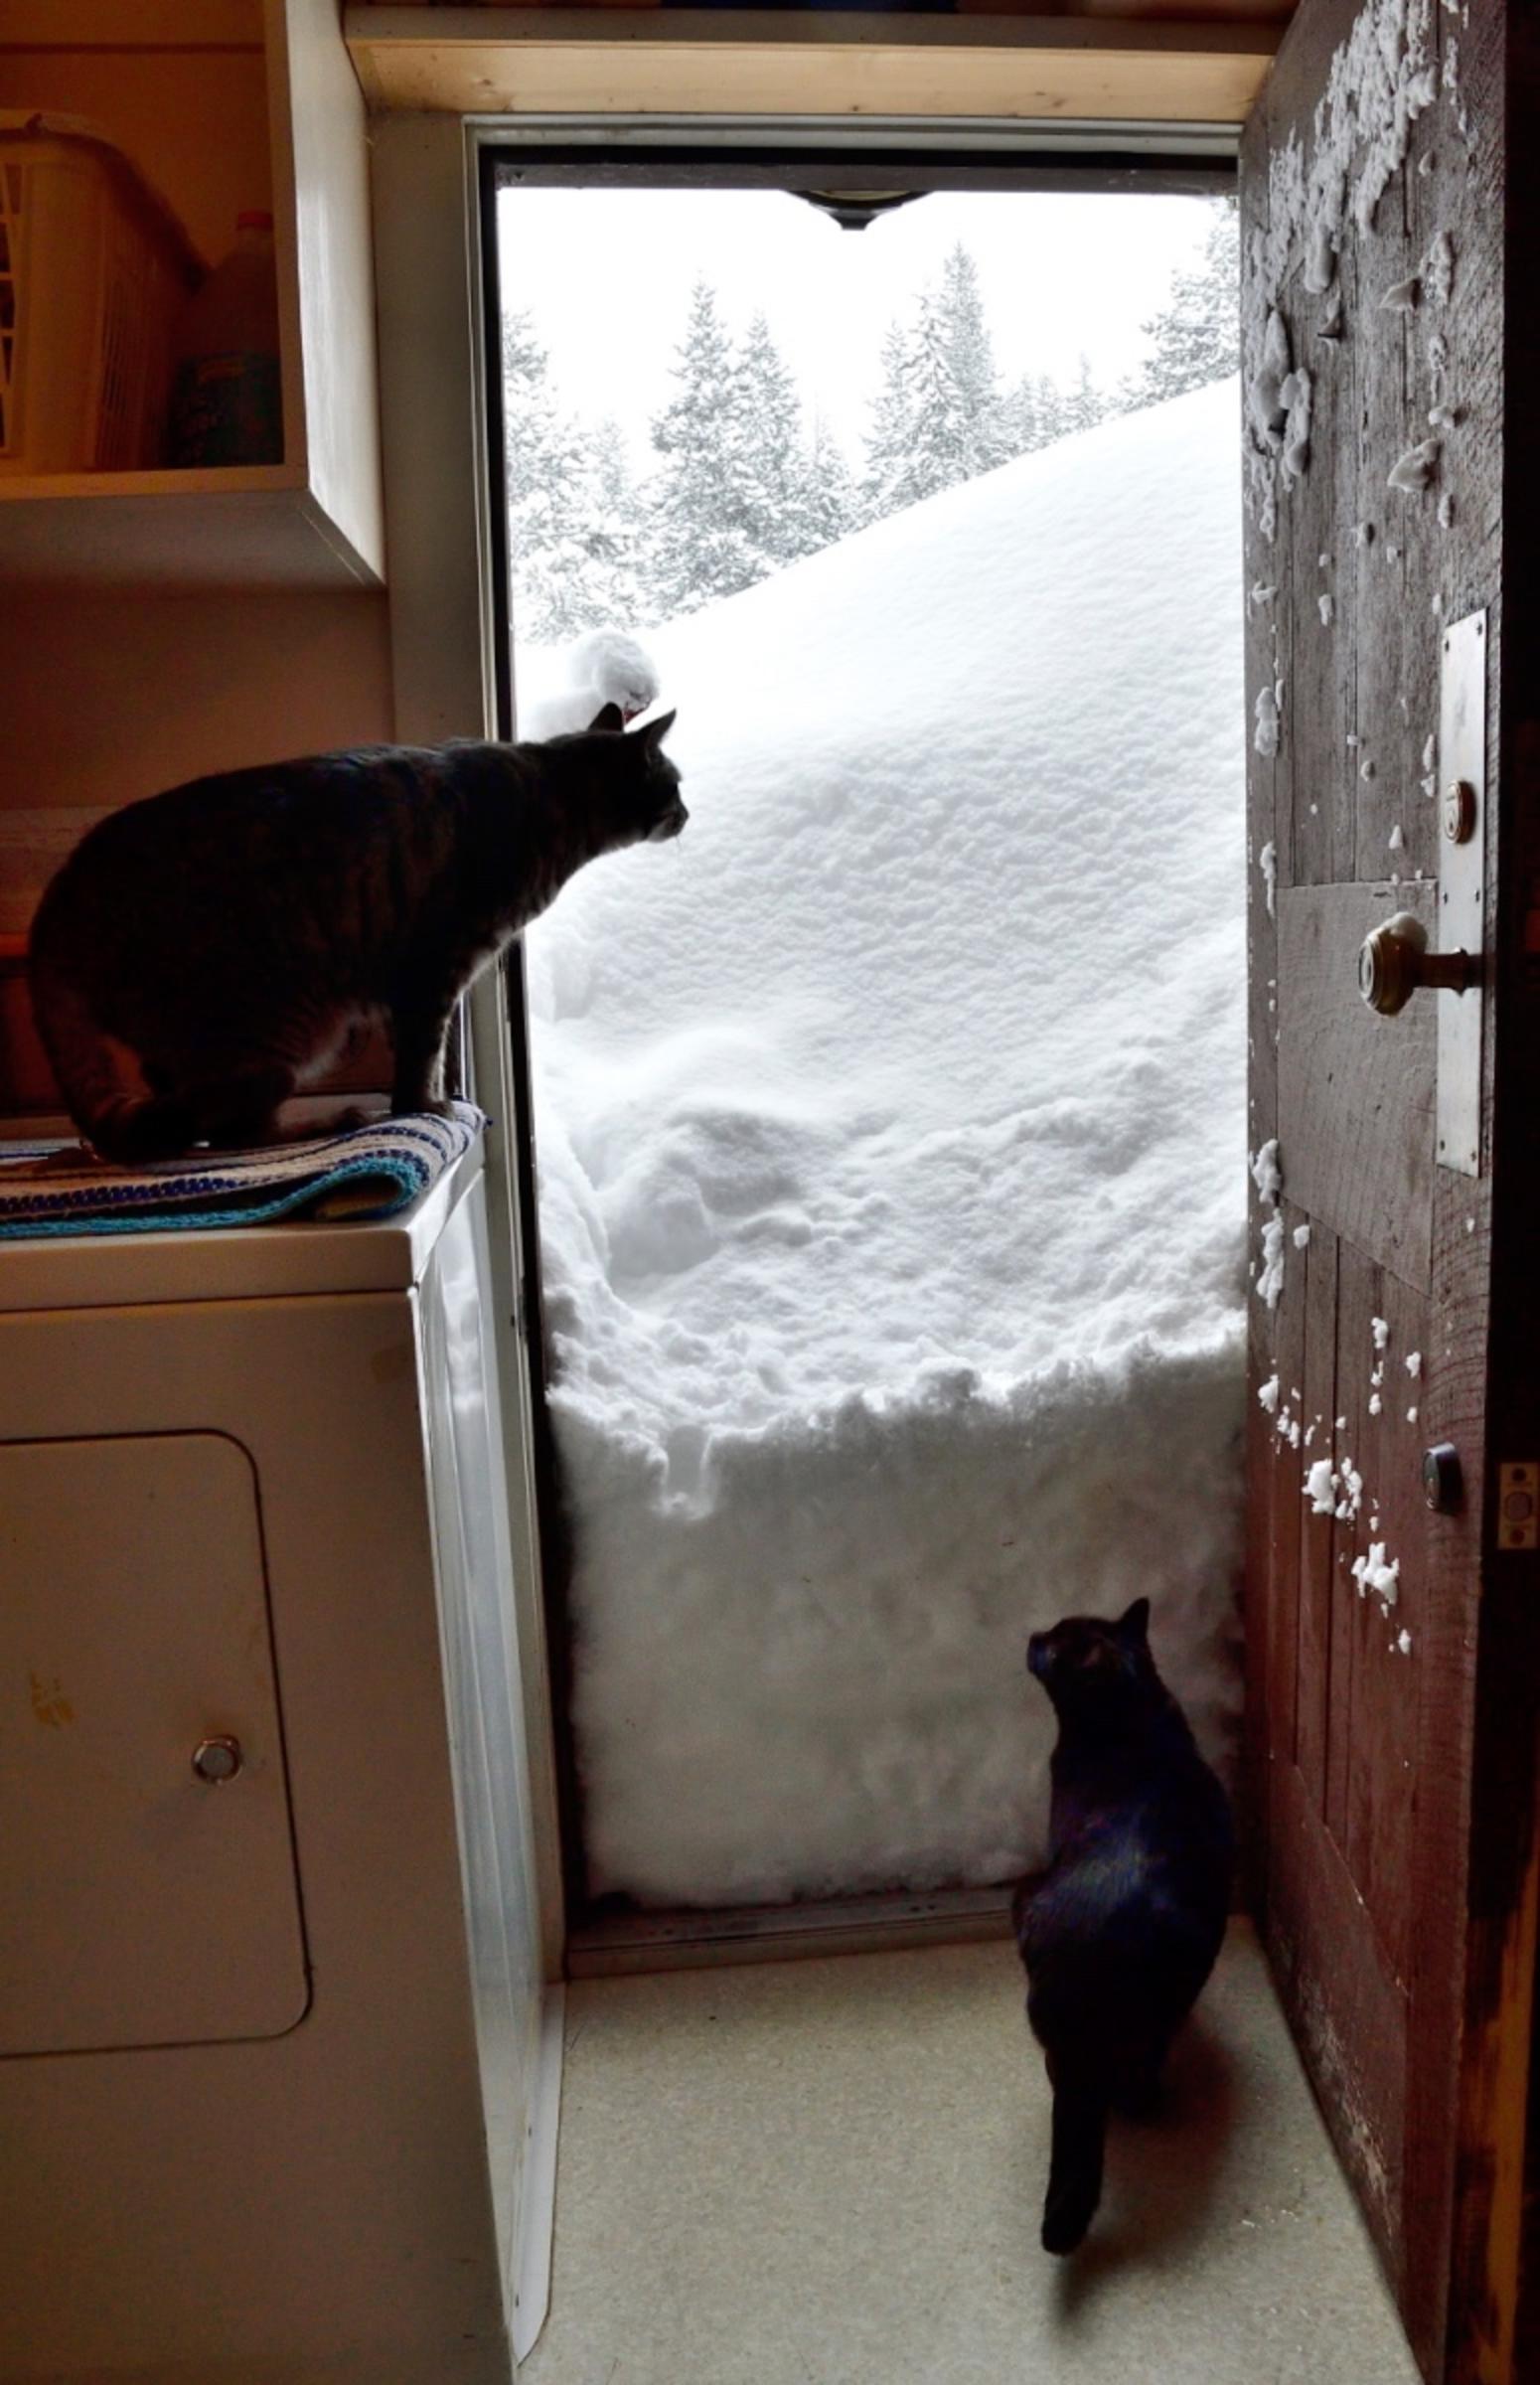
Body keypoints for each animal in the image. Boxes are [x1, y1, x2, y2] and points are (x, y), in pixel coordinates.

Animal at [27, 696, 682, 1164]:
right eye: (673, 783)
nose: (687, 812)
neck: (550, 794)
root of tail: (58, 894)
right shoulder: (438, 964)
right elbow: (424, 1053)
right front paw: (428, 1107)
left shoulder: (420, 981)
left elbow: (425, 1048)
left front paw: (435, 1100)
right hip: (277, 1034)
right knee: (231, 1131)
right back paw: (331, 1122)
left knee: (192, 1116)